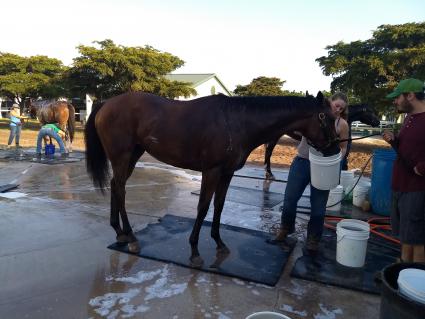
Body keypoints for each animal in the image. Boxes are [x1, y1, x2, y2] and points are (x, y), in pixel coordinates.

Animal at [84, 92, 340, 268]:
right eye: (327, 118)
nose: (335, 148)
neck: (237, 122)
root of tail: (105, 104)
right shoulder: (212, 171)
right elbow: (203, 207)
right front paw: (195, 251)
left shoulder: (227, 173)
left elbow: (219, 206)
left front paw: (219, 243)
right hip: (122, 156)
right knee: (120, 190)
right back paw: (131, 237)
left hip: (133, 155)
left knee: (116, 186)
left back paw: (120, 233)